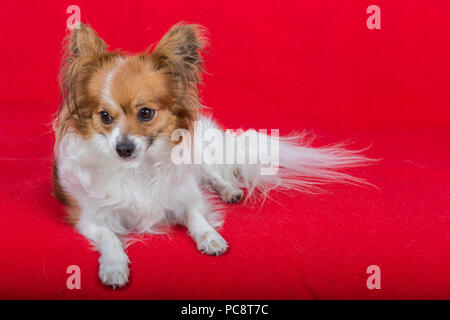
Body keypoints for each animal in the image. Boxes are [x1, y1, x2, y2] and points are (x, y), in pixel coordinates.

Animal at [52, 22, 372, 288]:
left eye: (146, 113)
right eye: (105, 117)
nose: (124, 148)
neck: (138, 167)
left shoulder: (186, 196)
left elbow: (196, 215)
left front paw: (210, 237)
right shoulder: (88, 218)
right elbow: (109, 236)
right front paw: (114, 266)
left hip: (199, 158)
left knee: (214, 176)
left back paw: (230, 190)